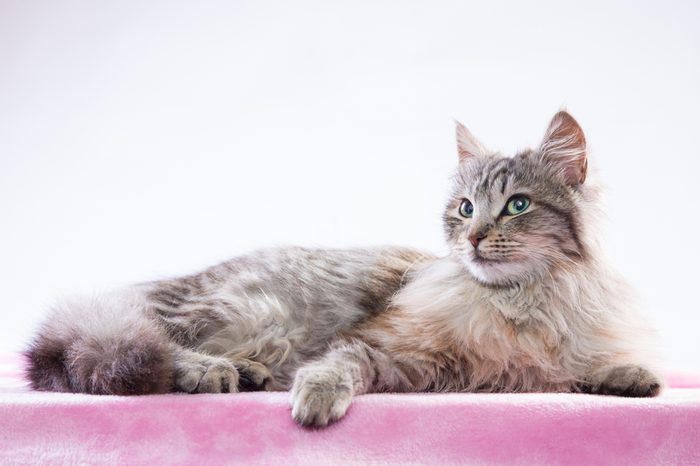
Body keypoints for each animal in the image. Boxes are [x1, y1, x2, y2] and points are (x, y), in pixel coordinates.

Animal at [26, 111, 660, 428]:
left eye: (518, 205)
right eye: (464, 209)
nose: (475, 237)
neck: (522, 302)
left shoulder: (532, 367)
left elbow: (576, 370)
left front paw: (629, 376)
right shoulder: (382, 348)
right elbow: (337, 366)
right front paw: (315, 400)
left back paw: (248, 373)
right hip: (236, 309)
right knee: (153, 342)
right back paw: (212, 372)